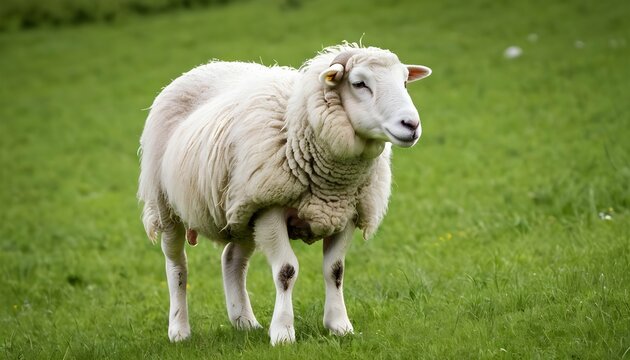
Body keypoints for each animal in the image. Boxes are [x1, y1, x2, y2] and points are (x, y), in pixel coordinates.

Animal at [138, 40, 434, 344]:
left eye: (404, 82)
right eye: (359, 83)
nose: (411, 125)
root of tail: (205, 67)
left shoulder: (347, 212)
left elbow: (335, 271)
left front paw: (340, 326)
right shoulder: (270, 209)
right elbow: (286, 272)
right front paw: (282, 333)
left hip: (242, 209)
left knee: (232, 259)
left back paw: (244, 322)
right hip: (166, 204)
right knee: (177, 265)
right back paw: (179, 329)